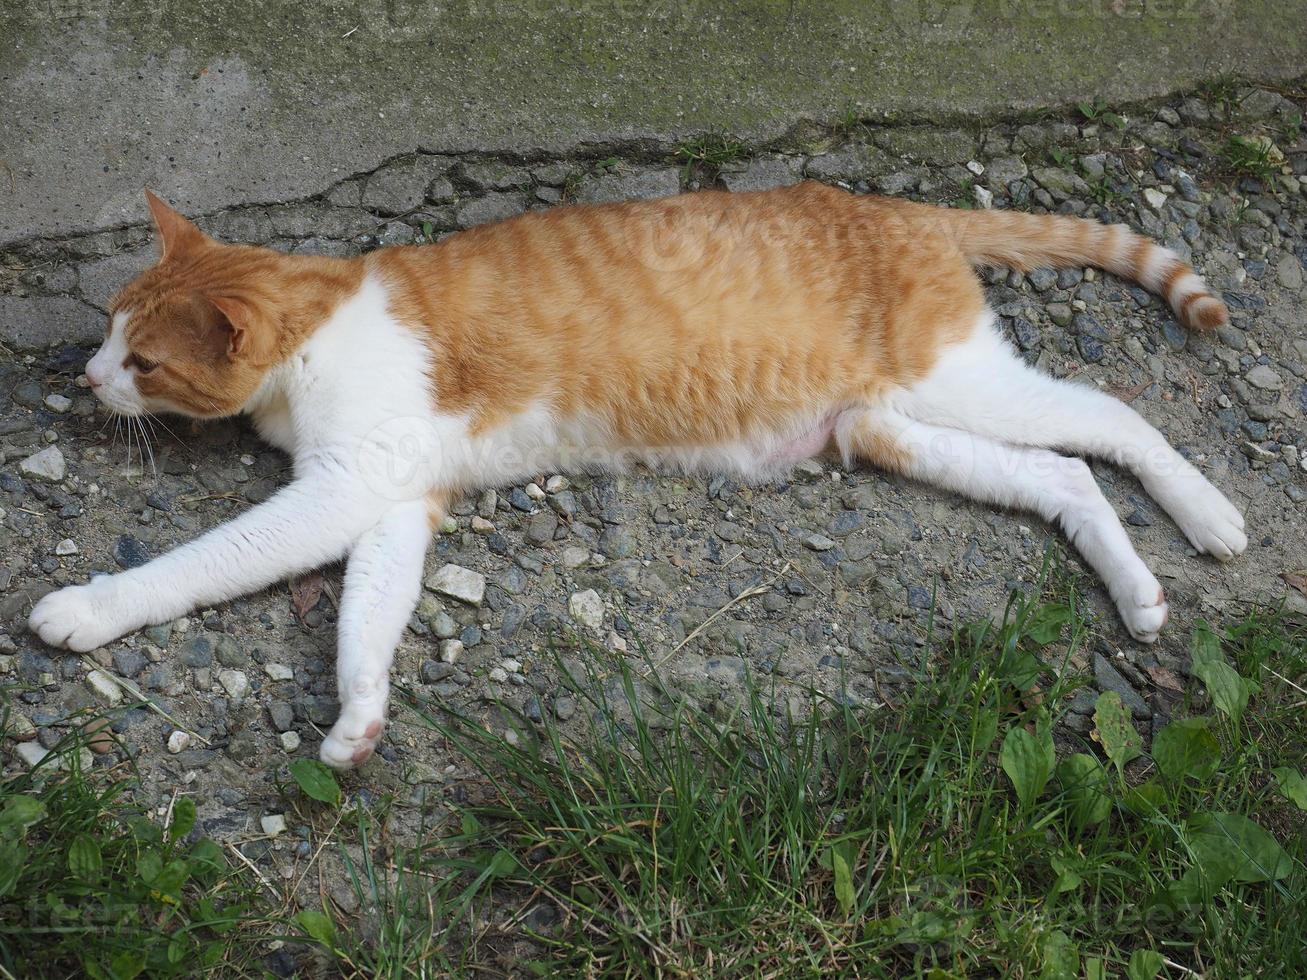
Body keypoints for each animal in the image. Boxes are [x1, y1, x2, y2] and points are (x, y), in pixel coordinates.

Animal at [28, 184, 1244, 768]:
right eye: (109, 327)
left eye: (142, 359)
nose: (86, 376)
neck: (314, 335)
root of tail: (875, 200)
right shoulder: (393, 501)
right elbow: (367, 622)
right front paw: (358, 724)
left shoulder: (339, 491)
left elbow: (204, 561)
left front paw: (88, 606)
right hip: (886, 426)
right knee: (1061, 475)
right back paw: (1137, 591)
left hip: (956, 380)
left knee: (1112, 419)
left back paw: (1208, 514)